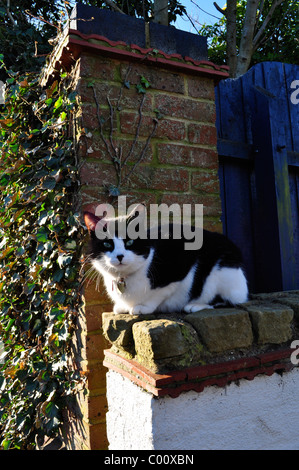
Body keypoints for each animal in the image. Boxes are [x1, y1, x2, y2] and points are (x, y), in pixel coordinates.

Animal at [84, 207, 248, 314]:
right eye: (107, 244)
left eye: (130, 242)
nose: (119, 256)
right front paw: (122, 307)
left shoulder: (180, 269)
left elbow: (159, 293)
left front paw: (143, 307)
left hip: (222, 274)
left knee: (230, 301)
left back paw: (195, 305)